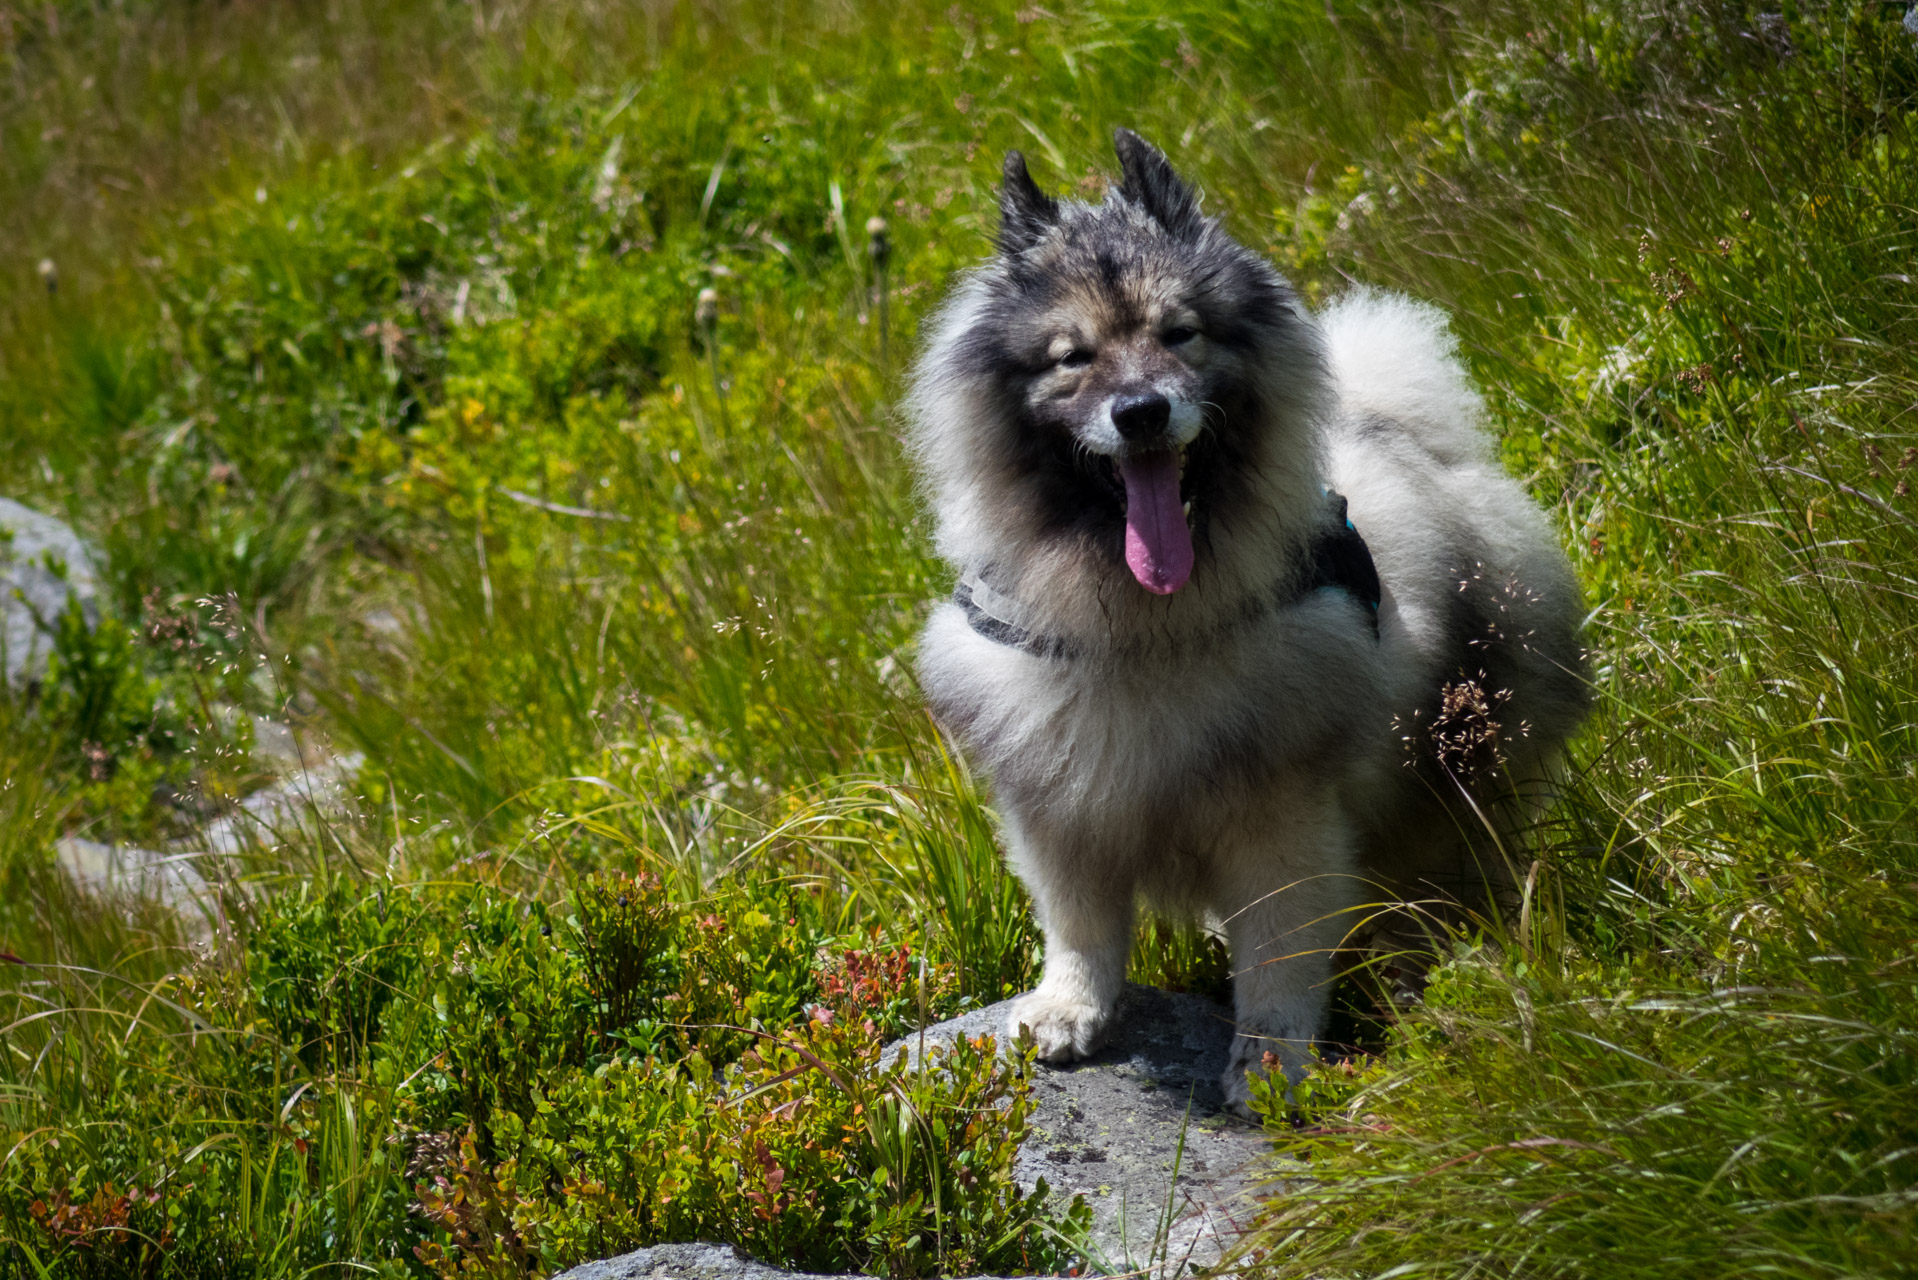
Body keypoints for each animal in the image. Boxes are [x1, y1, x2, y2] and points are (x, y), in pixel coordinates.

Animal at [909, 132, 1588, 1113]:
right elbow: (1081, 927)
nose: (1141, 411)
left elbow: (1279, 957)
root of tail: (1417, 436)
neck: (1142, 628)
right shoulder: (1059, 805)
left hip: (1461, 766)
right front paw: (1069, 1010)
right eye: (1073, 356)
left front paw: (1270, 1064)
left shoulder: (1278, 815)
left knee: (1449, 874)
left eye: (1178, 333)